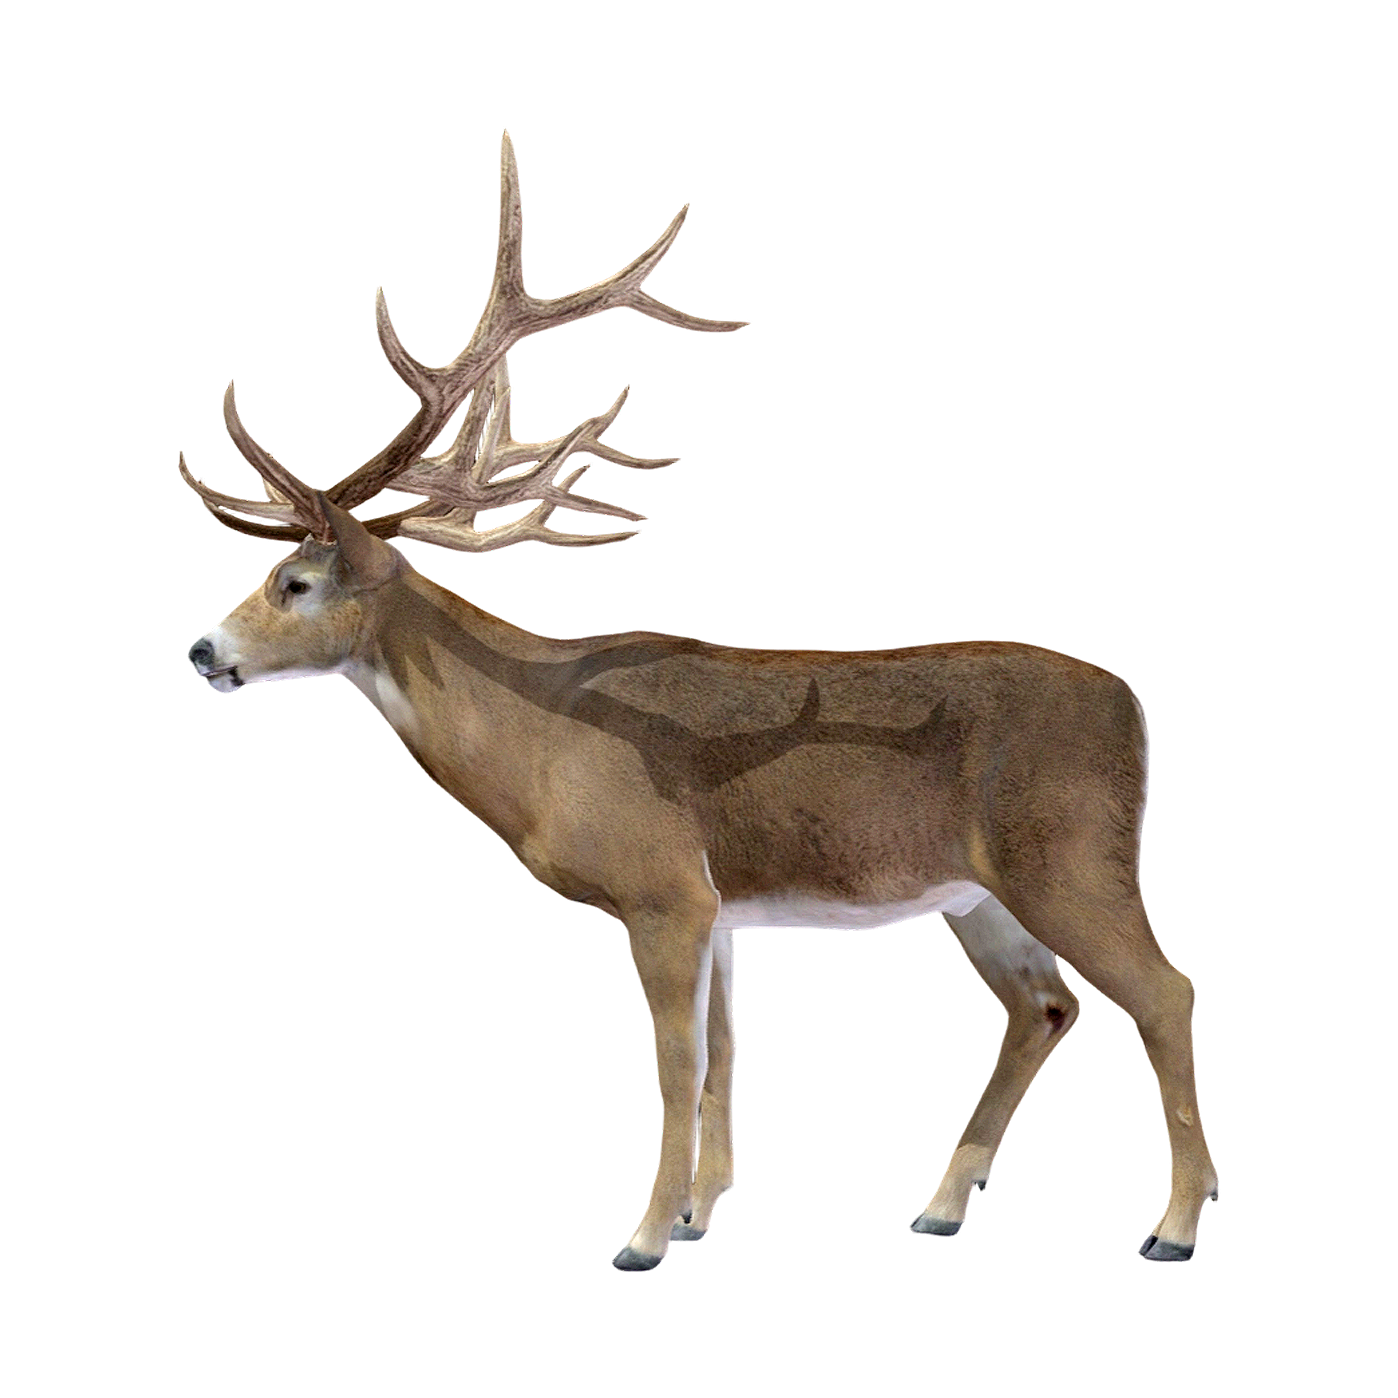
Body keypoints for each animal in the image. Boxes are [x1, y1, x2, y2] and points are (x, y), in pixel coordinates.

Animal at [182, 128, 1219, 1270]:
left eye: (296, 583)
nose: (202, 646)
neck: (541, 748)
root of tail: (1135, 713)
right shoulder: (719, 901)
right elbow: (723, 1054)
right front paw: (701, 1211)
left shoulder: (661, 882)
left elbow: (679, 1061)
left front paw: (643, 1234)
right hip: (979, 891)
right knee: (1045, 1003)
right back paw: (943, 1202)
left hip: (1070, 854)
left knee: (1165, 992)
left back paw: (1169, 1231)